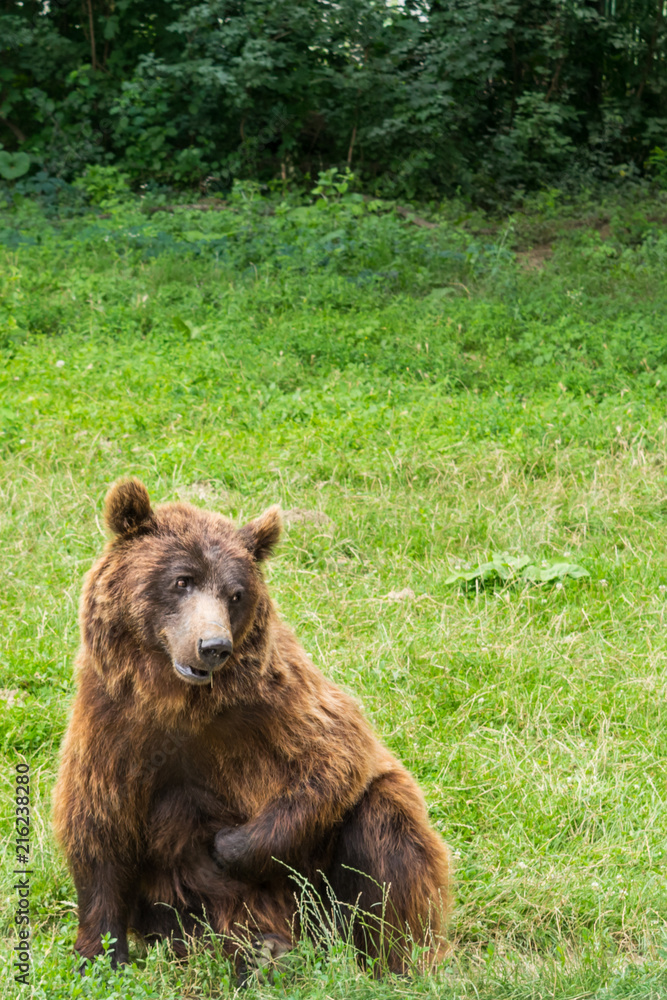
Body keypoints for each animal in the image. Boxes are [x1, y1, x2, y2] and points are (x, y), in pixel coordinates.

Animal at [52, 478, 452, 980]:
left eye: (235, 593)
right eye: (181, 580)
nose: (213, 645)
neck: (177, 699)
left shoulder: (272, 701)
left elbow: (335, 759)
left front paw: (225, 846)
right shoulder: (114, 719)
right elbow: (98, 823)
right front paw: (100, 953)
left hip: (318, 891)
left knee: (386, 828)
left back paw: (391, 958)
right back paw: (262, 951)